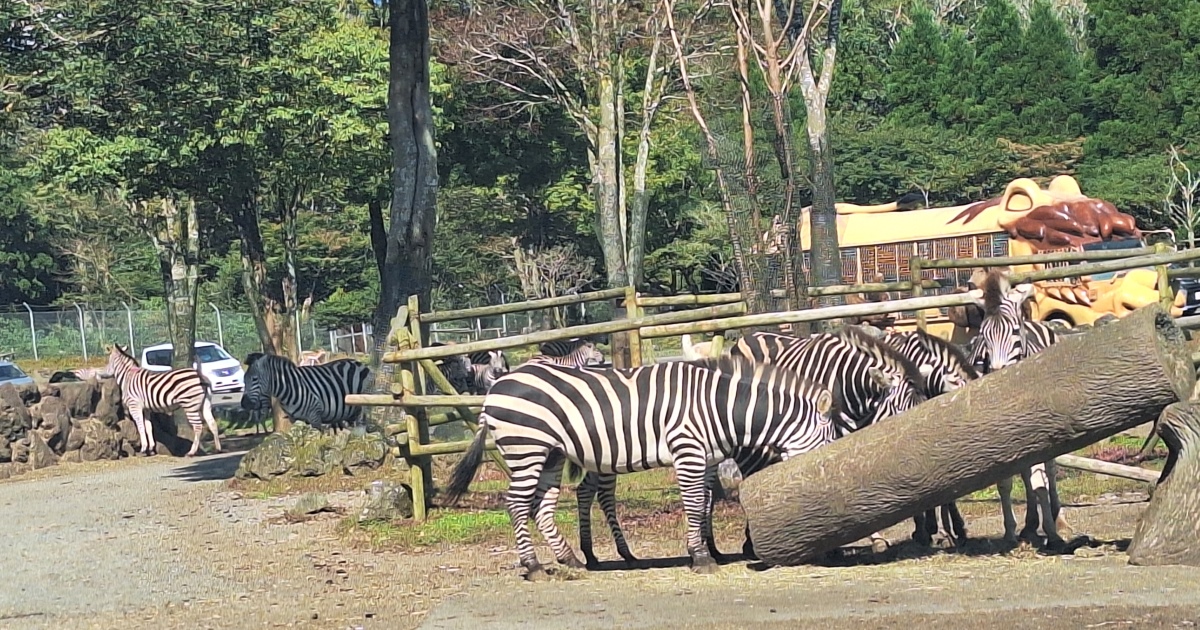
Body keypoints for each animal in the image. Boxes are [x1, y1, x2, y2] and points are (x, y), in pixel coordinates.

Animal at [241, 350, 372, 429]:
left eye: (254, 379)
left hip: (363, 403)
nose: (244, 404)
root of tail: (359, 363)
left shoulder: (315, 416)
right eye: (244, 380)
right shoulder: (293, 419)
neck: (290, 387)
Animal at [439, 352, 835, 573]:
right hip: (527, 447)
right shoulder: (688, 450)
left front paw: (711, 551)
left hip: (550, 453)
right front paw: (701, 557)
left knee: (543, 507)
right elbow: (695, 504)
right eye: (831, 440)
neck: (719, 407)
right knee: (518, 504)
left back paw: (572, 560)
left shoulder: (706, 457)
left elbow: (705, 502)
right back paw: (534, 566)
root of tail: (495, 388)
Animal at [964, 267, 1070, 547]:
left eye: (1013, 331)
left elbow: (1040, 479)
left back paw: (1058, 519)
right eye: (983, 335)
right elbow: (1006, 482)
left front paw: (1052, 531)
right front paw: (1011, 532)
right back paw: (1030, 524)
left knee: (1049, 472)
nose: (998, 376)